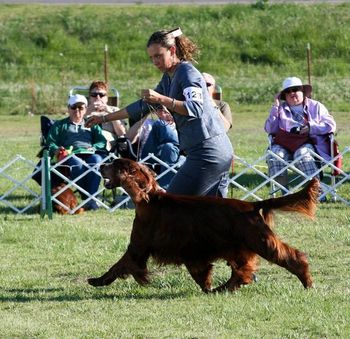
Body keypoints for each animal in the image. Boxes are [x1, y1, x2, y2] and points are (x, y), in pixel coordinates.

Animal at [88, 158, 320, 294]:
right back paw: (221, 288)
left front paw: (98, 280)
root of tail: (253, 205)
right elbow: (201, 272)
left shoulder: (139, 245)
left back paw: (307, 283)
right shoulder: (191, 251)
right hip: (239, 247)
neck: (148, 199)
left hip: (259, 241)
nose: (100, 166)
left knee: (292, 258)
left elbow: (119, 265)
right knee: (241, 272)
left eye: (114, 164)